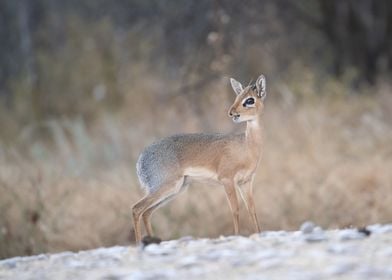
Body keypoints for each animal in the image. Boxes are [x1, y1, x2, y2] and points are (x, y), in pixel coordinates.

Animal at [132, 74, 266, 243]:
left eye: (249, 100)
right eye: (237, 97)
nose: (231, 113)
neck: (246, 147)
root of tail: (141, 160)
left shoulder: (246, 182)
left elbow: (252, 209)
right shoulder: (227, 180)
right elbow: (235, 210)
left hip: (175, 189)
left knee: (147, 212)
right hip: (166, 186)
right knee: (137, 209)